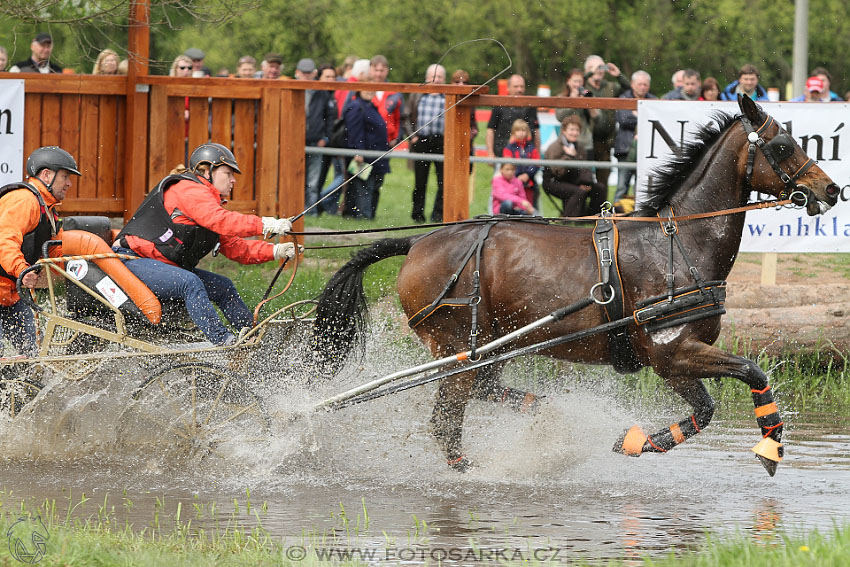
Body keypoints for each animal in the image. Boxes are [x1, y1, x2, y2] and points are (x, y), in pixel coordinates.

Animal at [314, 96, 840, 474]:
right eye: (782, 146)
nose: (830, 189)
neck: (679, 244)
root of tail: (418, 243)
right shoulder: (673, 352)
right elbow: (749, 376)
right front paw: (767, 448)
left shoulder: (674, 361)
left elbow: (710, 407)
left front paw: (642, 441)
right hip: (455, 347)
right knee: (447, 420)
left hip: (487, 346)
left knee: (480, 395)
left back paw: (544, 416)